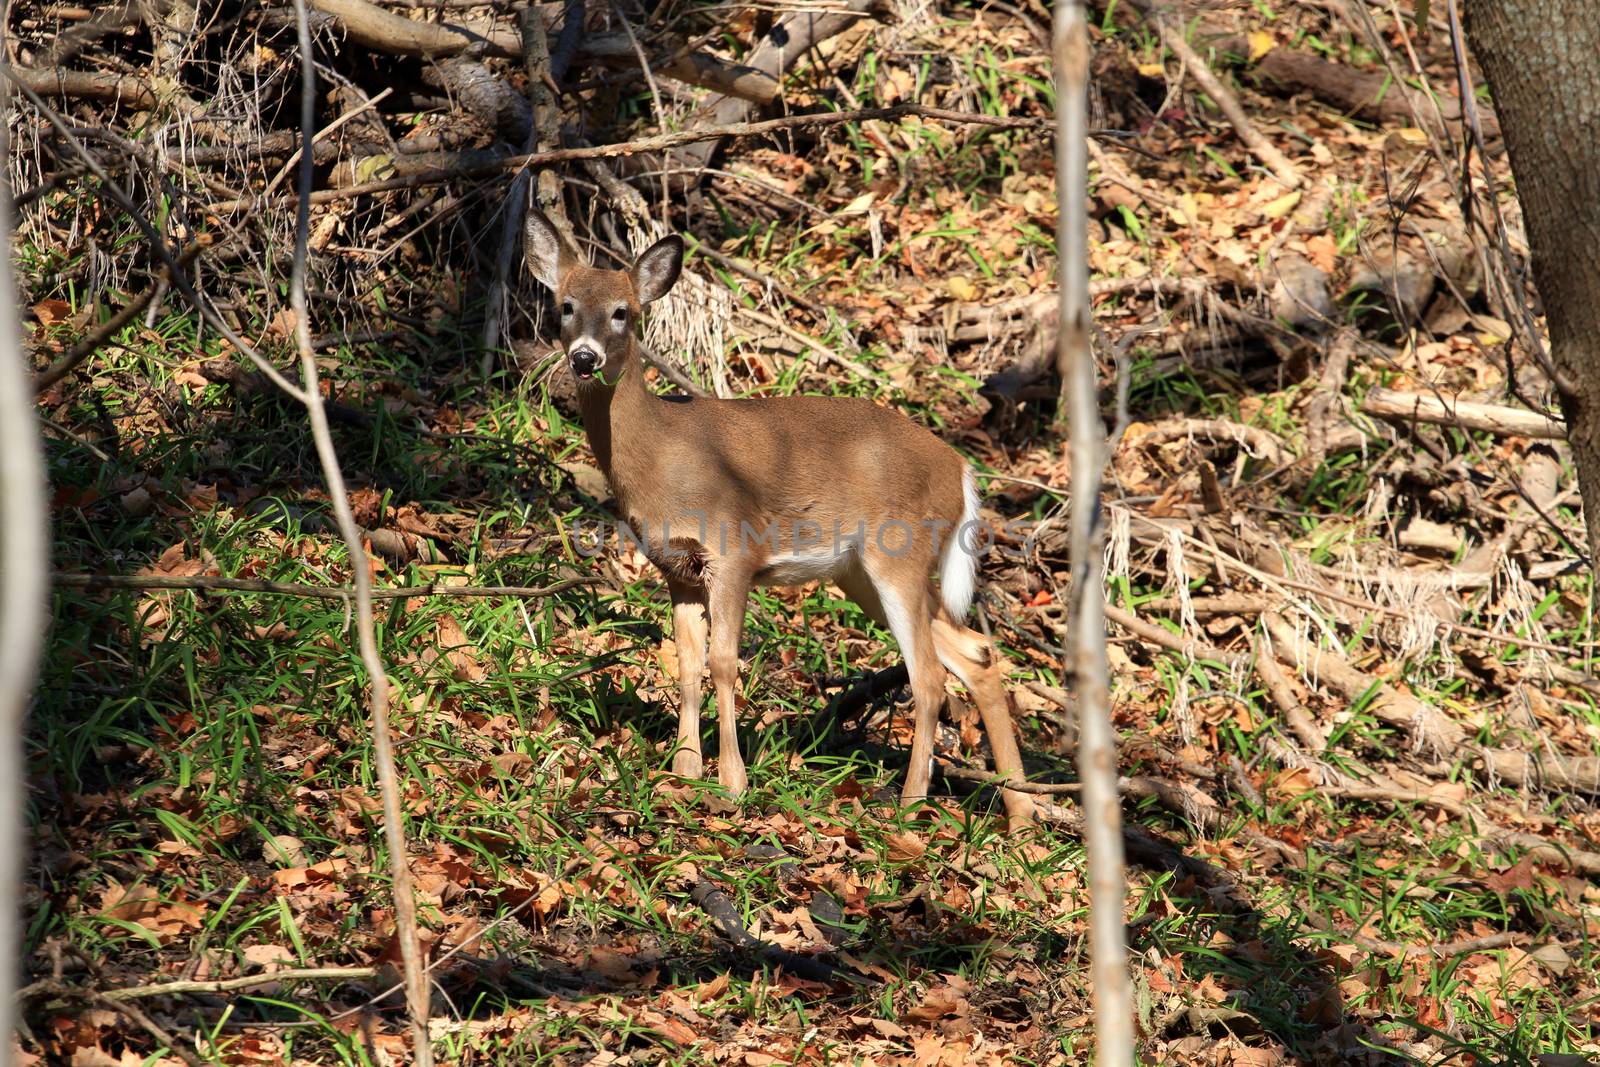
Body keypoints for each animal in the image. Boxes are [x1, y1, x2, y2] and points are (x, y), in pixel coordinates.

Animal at [524, 207, 1036, 825]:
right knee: (975, 652)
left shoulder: (733, 549)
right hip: (859, 573)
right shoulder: (676, 567)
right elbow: (687, 662)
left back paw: (910, 805)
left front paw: (730, 782)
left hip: (899, 554)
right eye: (565, 306)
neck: (663, 454)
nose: (584, 358)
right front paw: (683, 772)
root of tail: (961, 469)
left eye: (624, 311)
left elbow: (723, 661)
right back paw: (1021, 813)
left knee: (931, 676)